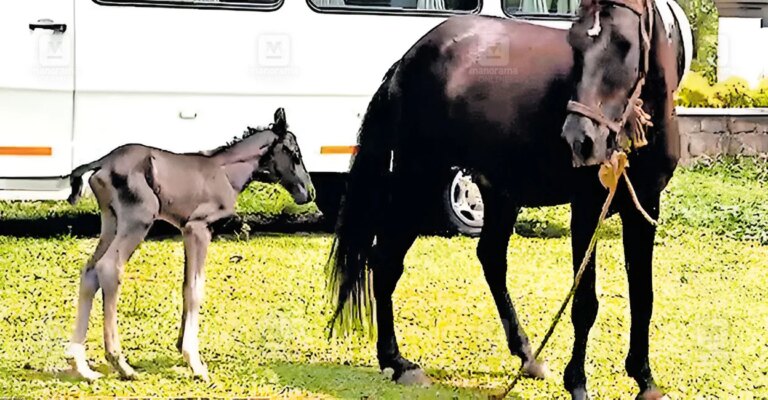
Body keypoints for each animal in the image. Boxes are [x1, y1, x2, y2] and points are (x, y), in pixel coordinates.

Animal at [64, 108, 314, 382]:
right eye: (295, 153)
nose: (309, 192)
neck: (226, 172)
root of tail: (103, 162)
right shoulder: (199, 228)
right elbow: (196, 289)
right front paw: (195, 362)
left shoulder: (185, 230)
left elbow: (186, 285)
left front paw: (180, 346)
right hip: (138, 220)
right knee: (109, 268)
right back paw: (120, 363)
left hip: (111, 222)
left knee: (90, 270)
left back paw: (81, 364)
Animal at [326, 0, 690, 397]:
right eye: (576, 43)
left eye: (624, 43)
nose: (579, 140)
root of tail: (407, 61)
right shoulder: (587, 209)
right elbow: (584, 302)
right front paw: (577, 383)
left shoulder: (645, 208)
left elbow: (643, 297)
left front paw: (644, 379)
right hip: (419, 178)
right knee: (386, 260)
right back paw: (396, 361)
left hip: (496, 192)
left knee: (490, 258)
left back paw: (527, 356)